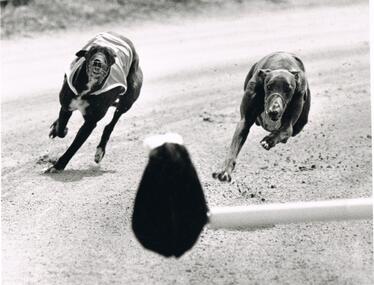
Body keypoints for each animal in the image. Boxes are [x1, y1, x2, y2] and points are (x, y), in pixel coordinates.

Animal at [45, 32, 142, 172]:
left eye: (108, 55)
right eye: (92, 51)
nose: (98, 62)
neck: (88, 88)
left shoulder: (90, 122)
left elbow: (74, 146)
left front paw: (58, 165)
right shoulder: (66, 106)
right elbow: (61, 128)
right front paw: (59, 129)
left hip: (127, 101)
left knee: (111, 124)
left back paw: (100, 151)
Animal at [212, 51, 312, 181]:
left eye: (288, 90)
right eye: (268, 86)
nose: (274, 111)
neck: (282, 65)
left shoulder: (290, 118)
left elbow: (285, 130)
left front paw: (269, 140)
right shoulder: (245, 120)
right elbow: (234, 146)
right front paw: (224, 170)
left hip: (300, 122)